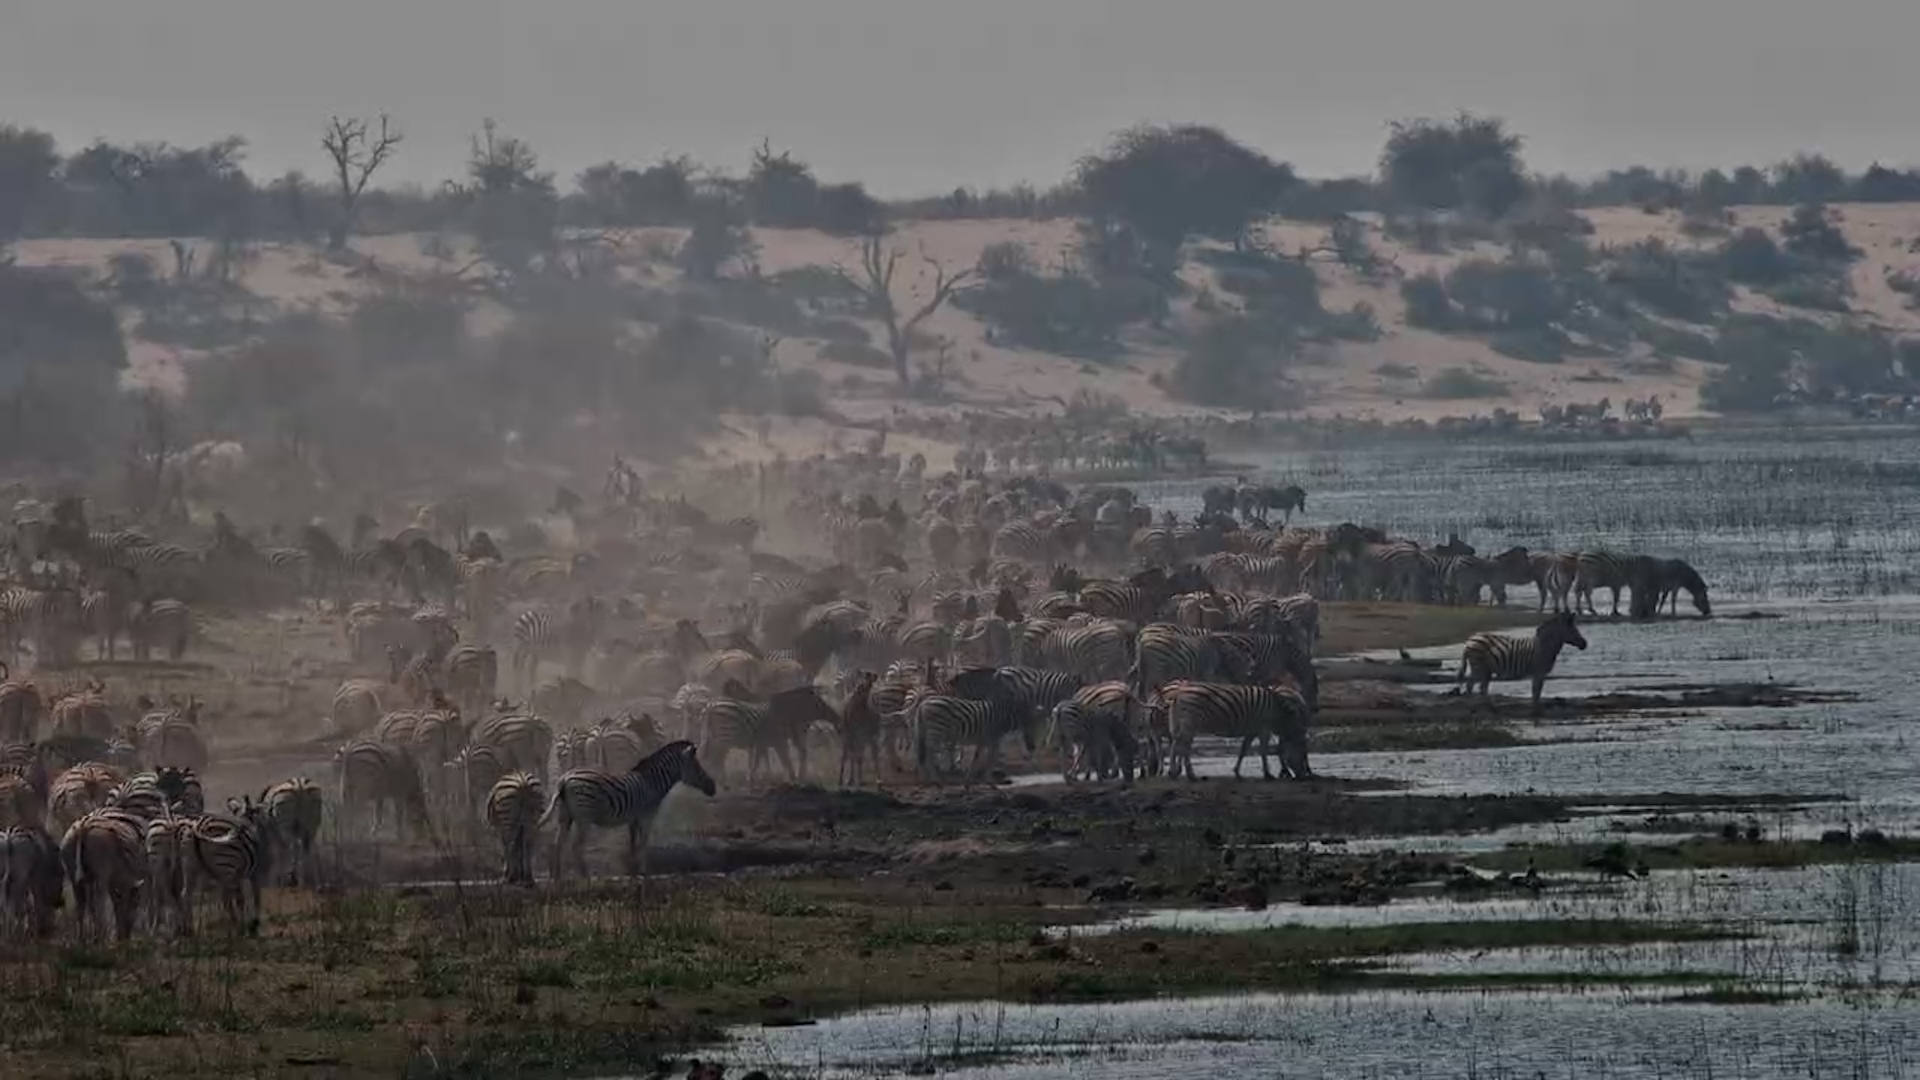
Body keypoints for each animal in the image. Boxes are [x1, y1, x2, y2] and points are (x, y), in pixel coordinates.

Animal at [60, 808, 149, 939]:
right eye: (135, 905)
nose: (125, 936)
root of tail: (83, 827)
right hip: (100, 877)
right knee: (98, 906)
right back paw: (101, 937)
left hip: (75, 878)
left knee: (81, 907)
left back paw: (82, 939)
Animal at [540, 740, 717, 881]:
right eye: (697, 767)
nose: (713, 788)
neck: (652, 782)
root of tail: (564, 779)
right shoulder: (647, 815)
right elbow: (644, 842)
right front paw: (645, 874)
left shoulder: (633, 818)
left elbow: (633, 845)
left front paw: (633, 874)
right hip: (584, 818)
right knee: (576, 846)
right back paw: (586, 878)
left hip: (565, 816)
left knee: (558, 843)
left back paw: (557, 879)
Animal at [1160, 680, 1313, 782]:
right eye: (1301, 753)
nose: (1303, 777)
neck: (1279, 712)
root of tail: (1179, 693)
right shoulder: (1264, 728)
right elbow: (1263, 751)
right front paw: (1268, 774)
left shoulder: (1252, 730)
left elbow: (1243, 750)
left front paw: (1237, 771)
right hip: (1190, 723)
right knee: (1183, 747)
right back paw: (1190, 775)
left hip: (1183, 723)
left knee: (1176, 742)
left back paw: (1173, 772)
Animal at [1453, 611, 1590, 711]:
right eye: (1573, 630)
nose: (1585, 644)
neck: (1545, 646)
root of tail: (1470, 639)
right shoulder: (1539, 671)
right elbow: (1536, 690)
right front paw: (1535, 709)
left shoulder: (1540, 673)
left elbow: (1537, 690)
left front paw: (1535, 707)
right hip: (1478, 666)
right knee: (1472, 686)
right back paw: (1476, 706)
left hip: (1484, 669)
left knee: (1480, 687)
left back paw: (1487, 706)